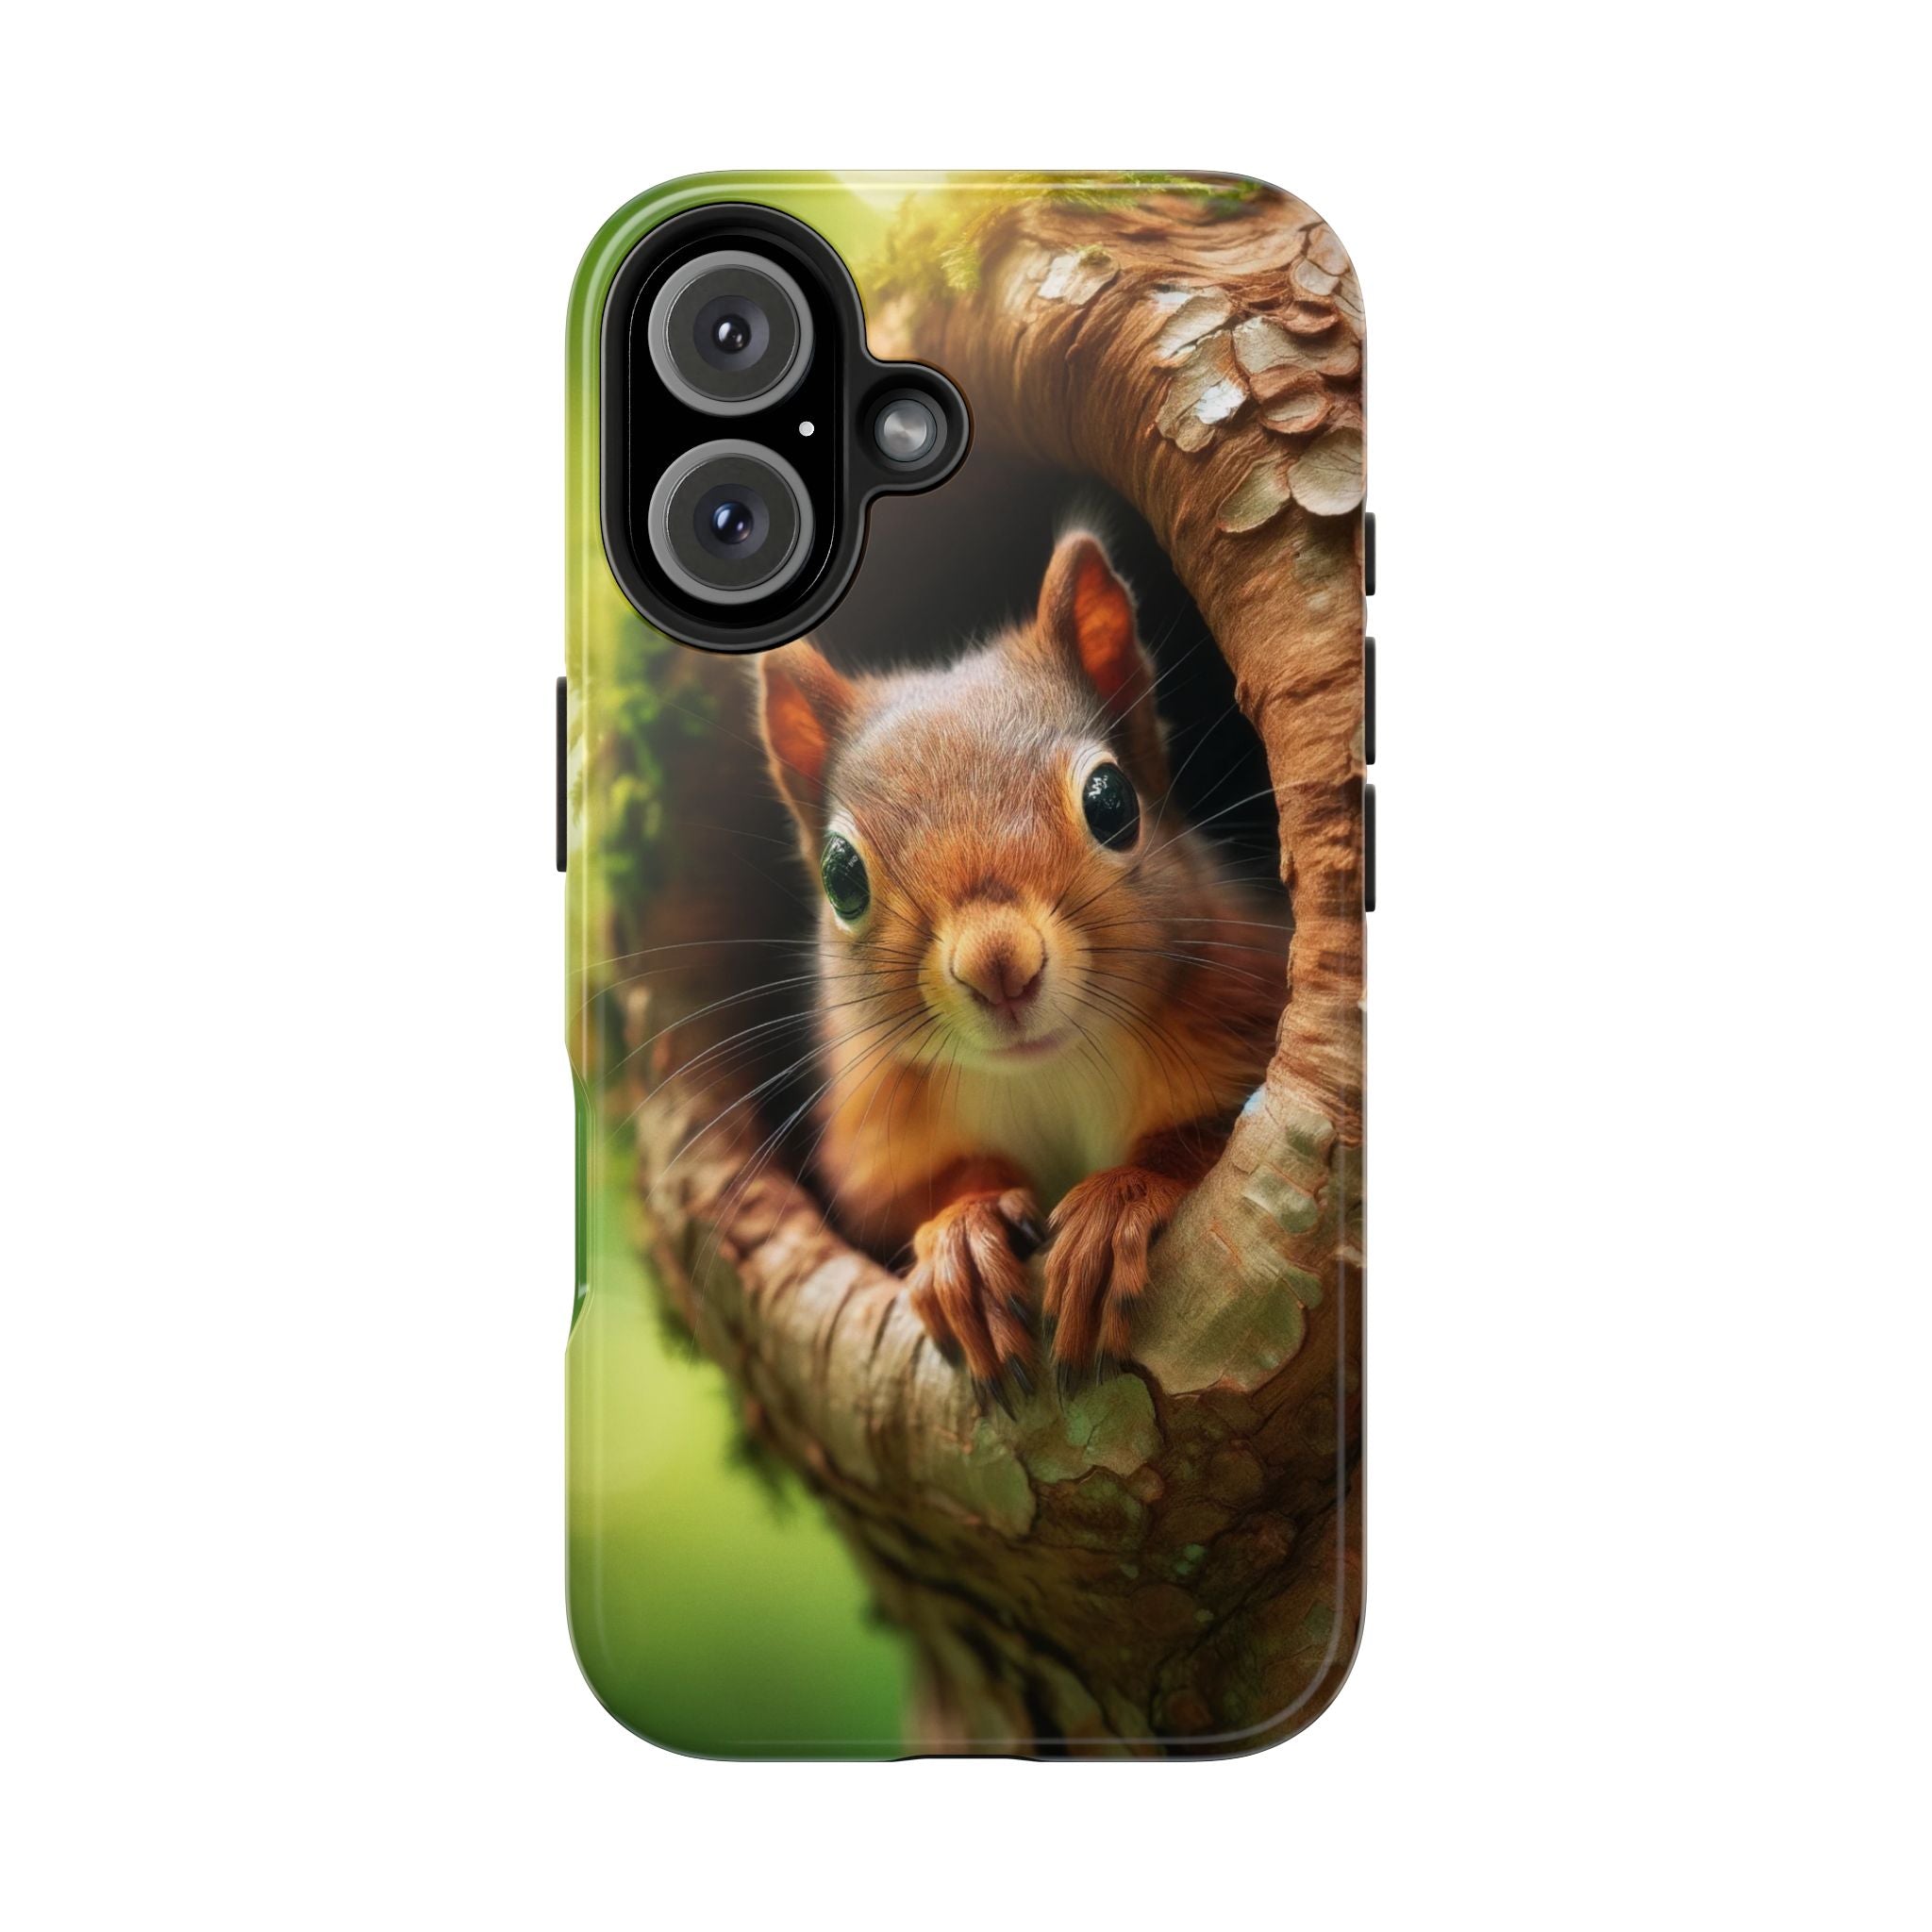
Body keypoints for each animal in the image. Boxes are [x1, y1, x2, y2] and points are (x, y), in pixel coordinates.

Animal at [757, 531, 1287, 1407]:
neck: (1047, 1072)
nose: (997, 965)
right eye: (840, 875)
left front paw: (1115, 1204)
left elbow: (1206, 1138)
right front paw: (963, 1240)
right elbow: (913, 1196)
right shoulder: (876, 1133)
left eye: (1111, 802)